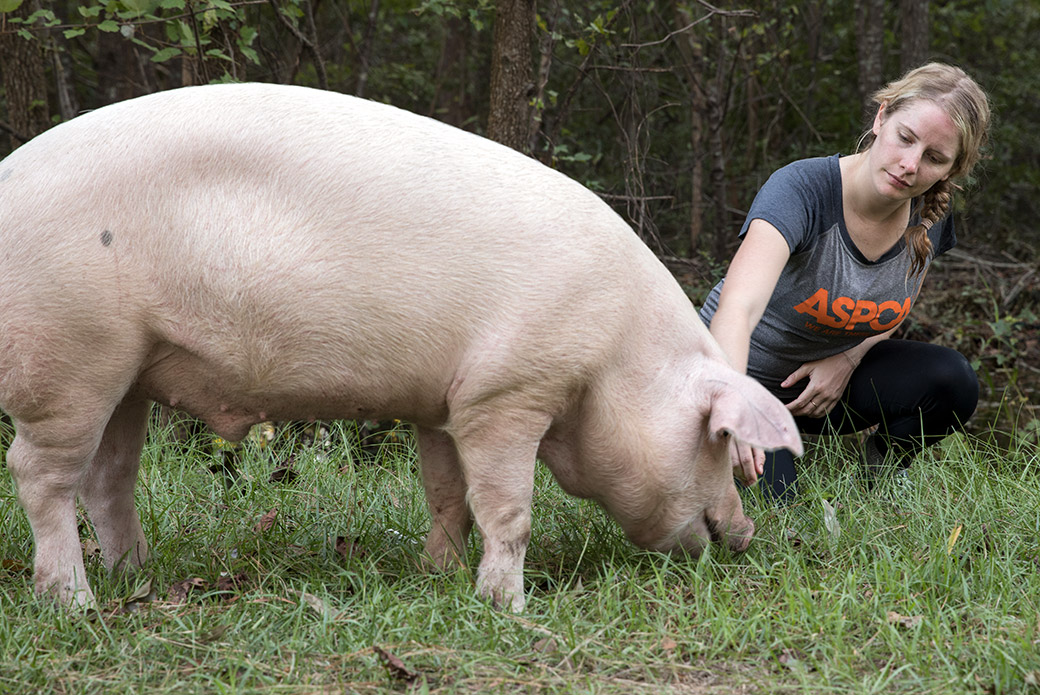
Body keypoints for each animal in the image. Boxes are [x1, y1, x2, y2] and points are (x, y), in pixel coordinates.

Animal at [0, 82, 802, 611]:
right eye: (719, 440)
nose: (744, 534)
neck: (616, 358)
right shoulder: (508, 392)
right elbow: (507, 508)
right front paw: (506, 607)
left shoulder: (445, 401)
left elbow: (448, 495)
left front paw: (437, 576)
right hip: (69, 352)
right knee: (41, 475)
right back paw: (75, 603)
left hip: (128, 366)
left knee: (109, 478)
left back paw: (137, 575)